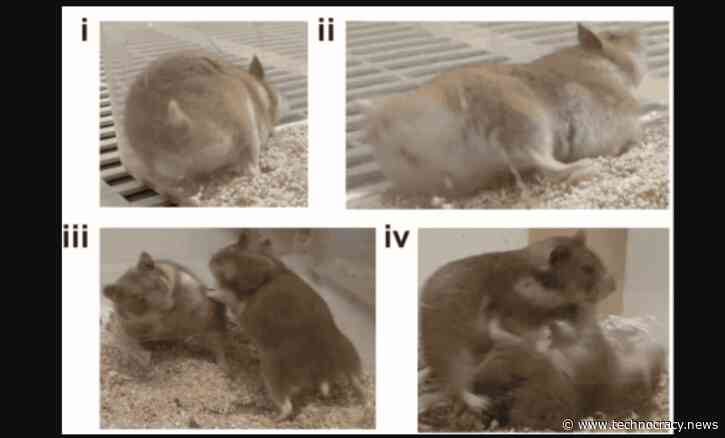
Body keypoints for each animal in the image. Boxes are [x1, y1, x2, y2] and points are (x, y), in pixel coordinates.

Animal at [207, 232, 364, 420]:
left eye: (228, 254)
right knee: (356, 378)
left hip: (272, 371)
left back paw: (273, 418)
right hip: (348, 350)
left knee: (286, 406)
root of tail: (325, 371)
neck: (270, 271)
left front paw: (209, 291)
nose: (210, 260)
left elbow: (224, 293)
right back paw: (363, 397)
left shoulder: (237, 302)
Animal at [420, 230, 615, 415]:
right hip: (458, 360)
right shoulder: (516, 315)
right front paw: (545, 340)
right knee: (457, 389)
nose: (614, 287)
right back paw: (481, 402)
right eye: (587, 269)